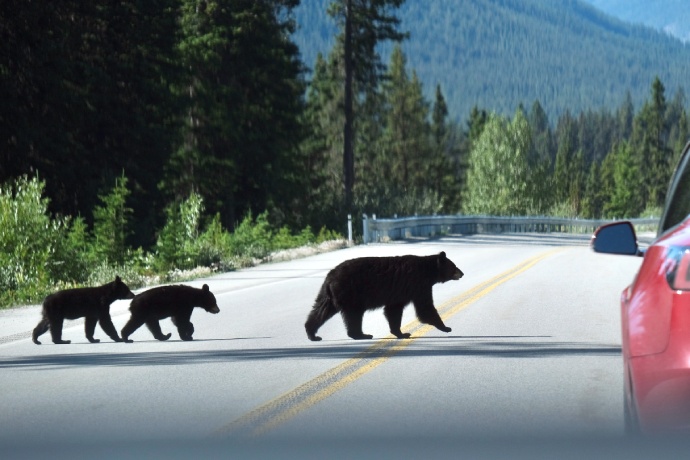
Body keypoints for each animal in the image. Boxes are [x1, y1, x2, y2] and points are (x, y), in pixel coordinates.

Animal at [302, 250, 460, 340]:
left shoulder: (399, 293)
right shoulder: (418, 284)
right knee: (354, 314)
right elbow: (425, 308)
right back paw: (361, 335)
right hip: (351, 293)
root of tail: (330, 276)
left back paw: (312, 334)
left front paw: (400, 333)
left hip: (328, 295)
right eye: (454, 266)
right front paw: (446, 327)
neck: (428, 270)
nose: (462, 273)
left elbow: (393, 310)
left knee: (320, 311)